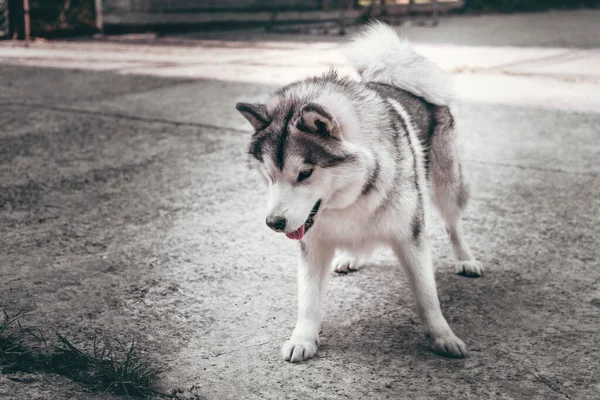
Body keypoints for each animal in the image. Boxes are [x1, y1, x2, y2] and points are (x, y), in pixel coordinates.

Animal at [236, 21, 482, 362]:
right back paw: (351, 257)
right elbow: (308, 299)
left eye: (305, 173)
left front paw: (442, 336)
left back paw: (465, 259)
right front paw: (303, 338)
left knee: (453, 223)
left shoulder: (410, 237)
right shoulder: (313, 243)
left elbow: (426, 295)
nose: (273, 223)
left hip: (446, 184)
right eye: (269, 175)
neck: (350, 196)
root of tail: (395, 76)